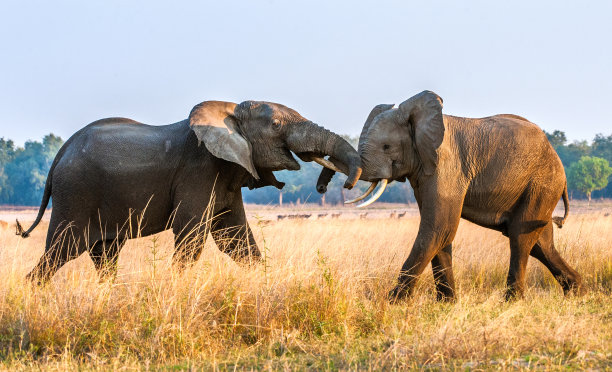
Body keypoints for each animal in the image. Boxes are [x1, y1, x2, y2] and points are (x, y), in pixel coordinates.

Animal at [318, 91, 580, 302]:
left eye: (386, 147)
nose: (322, 189)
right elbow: (440, 233)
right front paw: (446, 304)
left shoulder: (448, 168)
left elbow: (439, 227)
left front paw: (391, 303)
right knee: (540, 241)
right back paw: (577, 291)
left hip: (543, 183)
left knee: (520, 237)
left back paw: (512, 301)